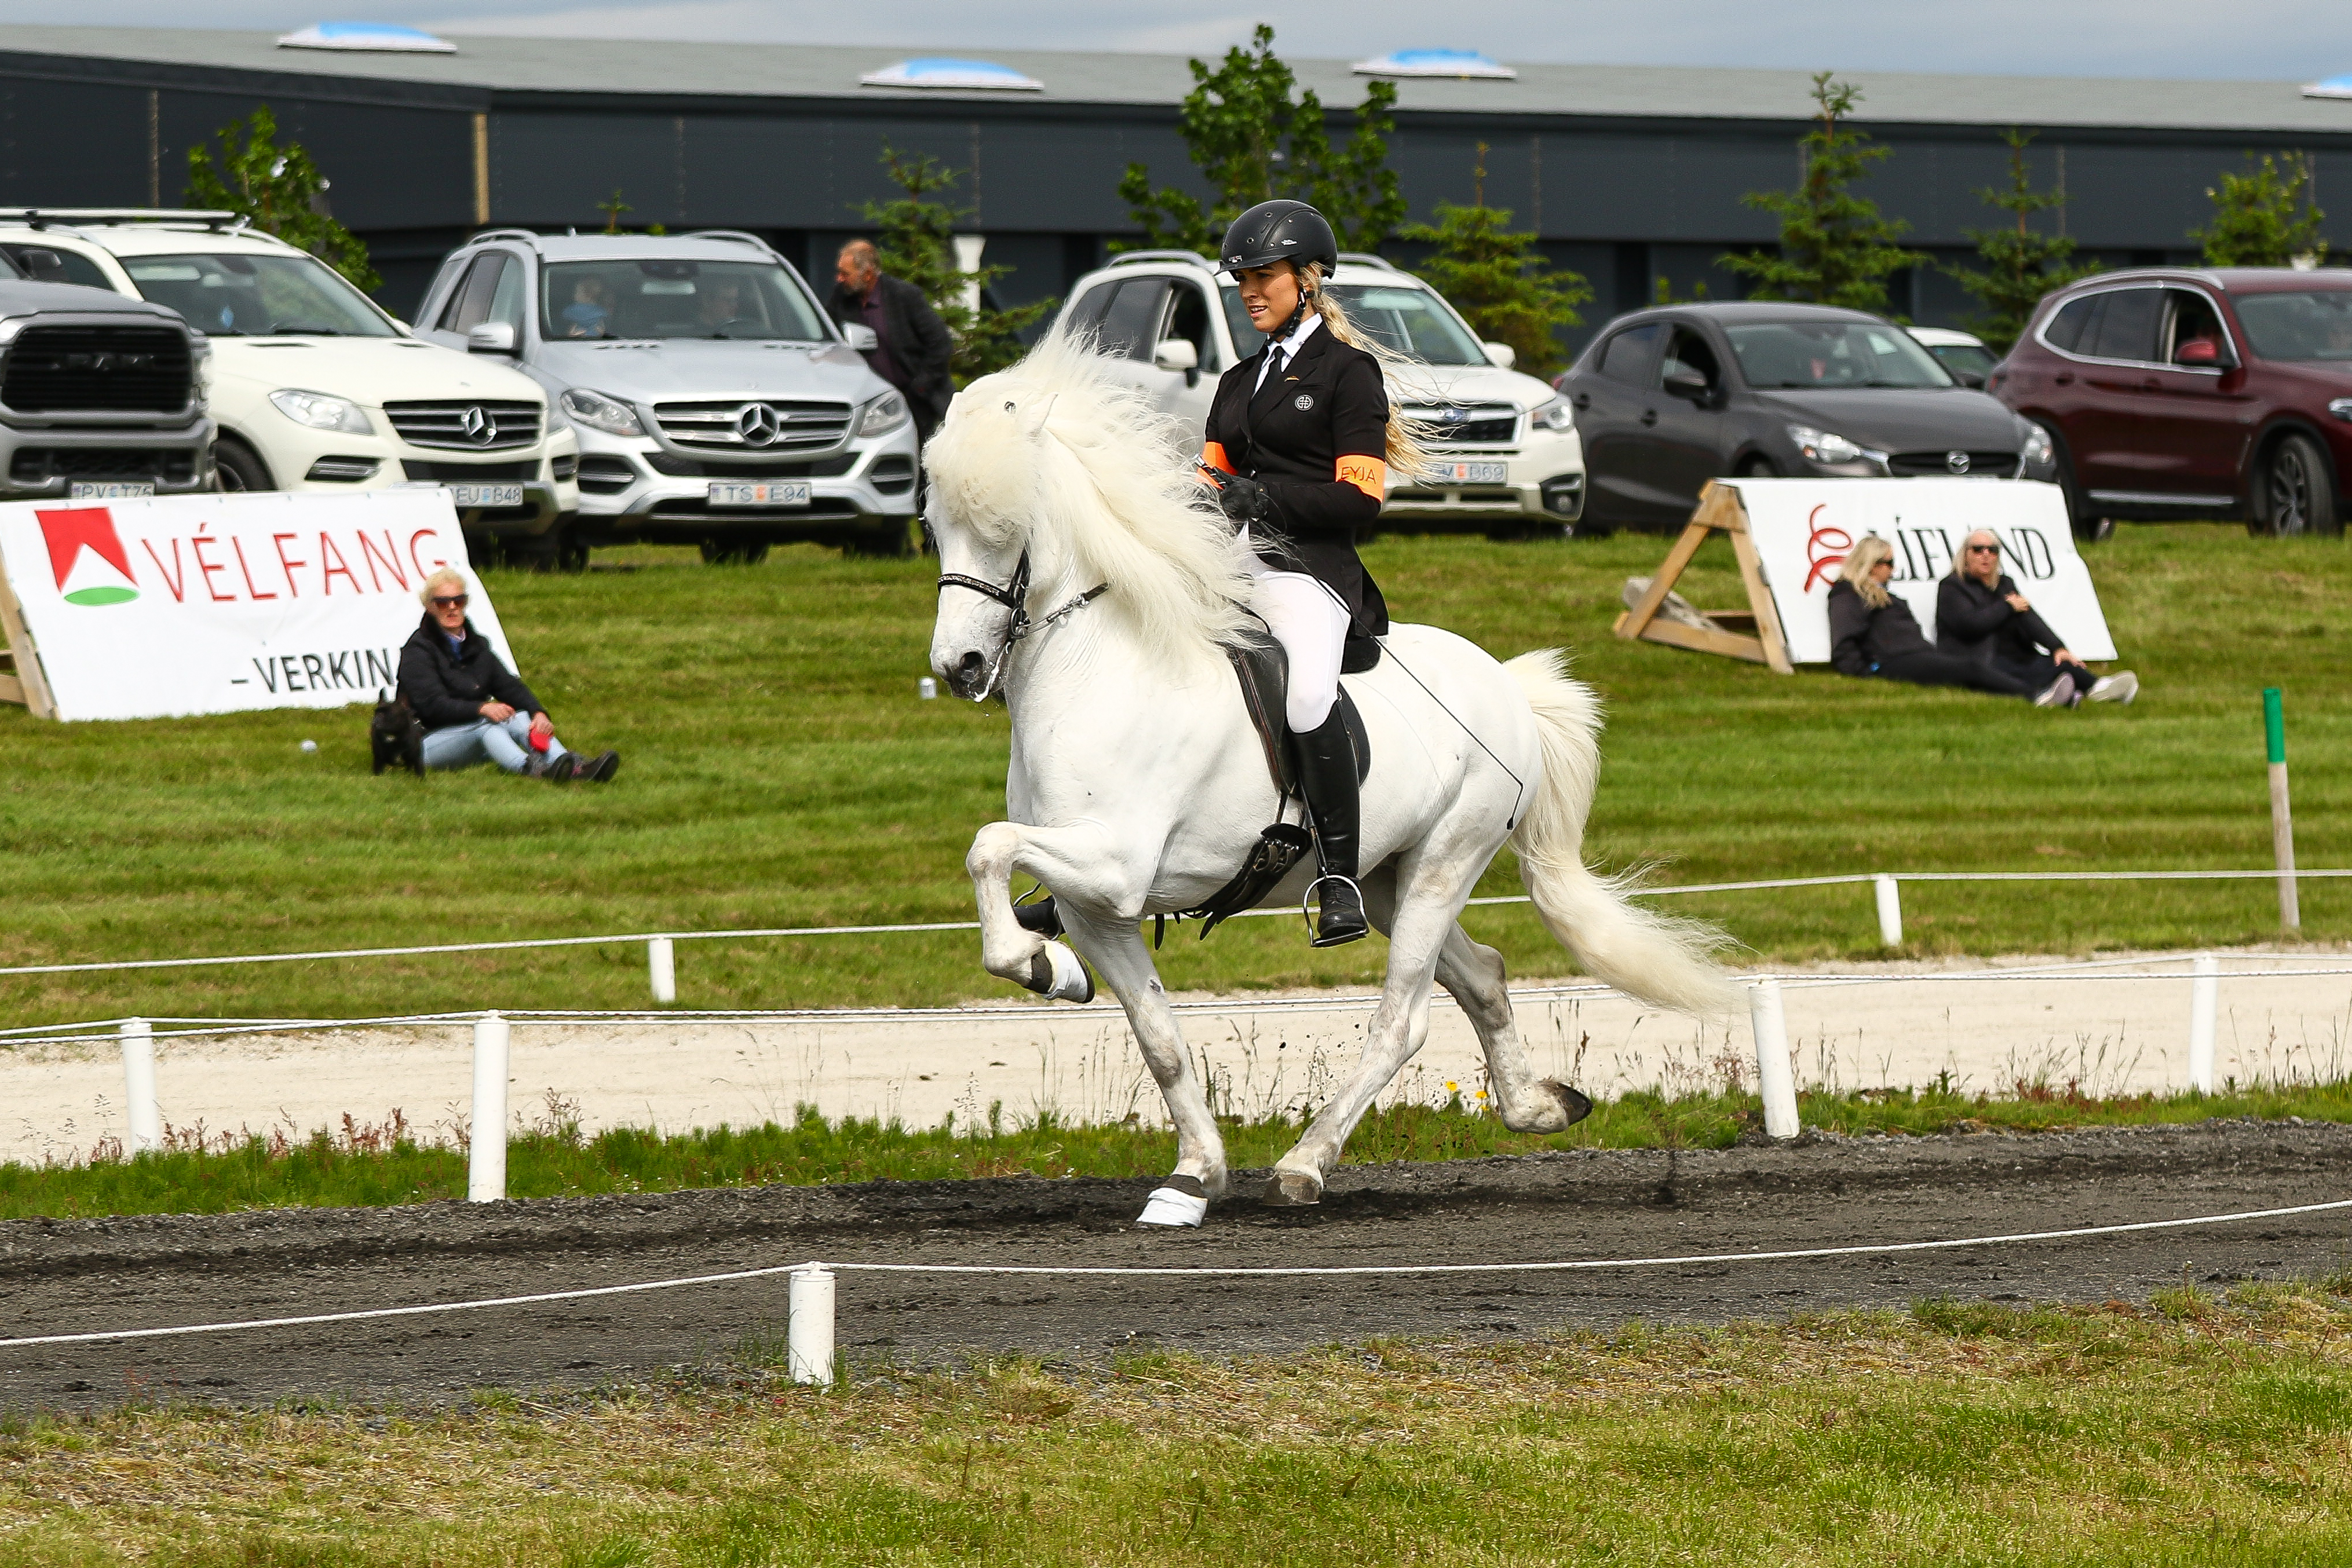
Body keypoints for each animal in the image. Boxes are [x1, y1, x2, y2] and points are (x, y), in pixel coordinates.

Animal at [926, 334, 1740, 1222]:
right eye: (935, 528)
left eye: (1007, 530)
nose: (958, 666)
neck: (1100, 667)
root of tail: (1506, 683)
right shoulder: (1094, 904)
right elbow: (1159, 1037)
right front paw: (1191, 1174)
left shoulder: (1115, 864)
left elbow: (986, 845)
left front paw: (1043, 966)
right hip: (1389, 875)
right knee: (1484, 976)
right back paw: (1537, 1107)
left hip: (1445, 863)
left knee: (1403, 1020)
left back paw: (1306, 1162)